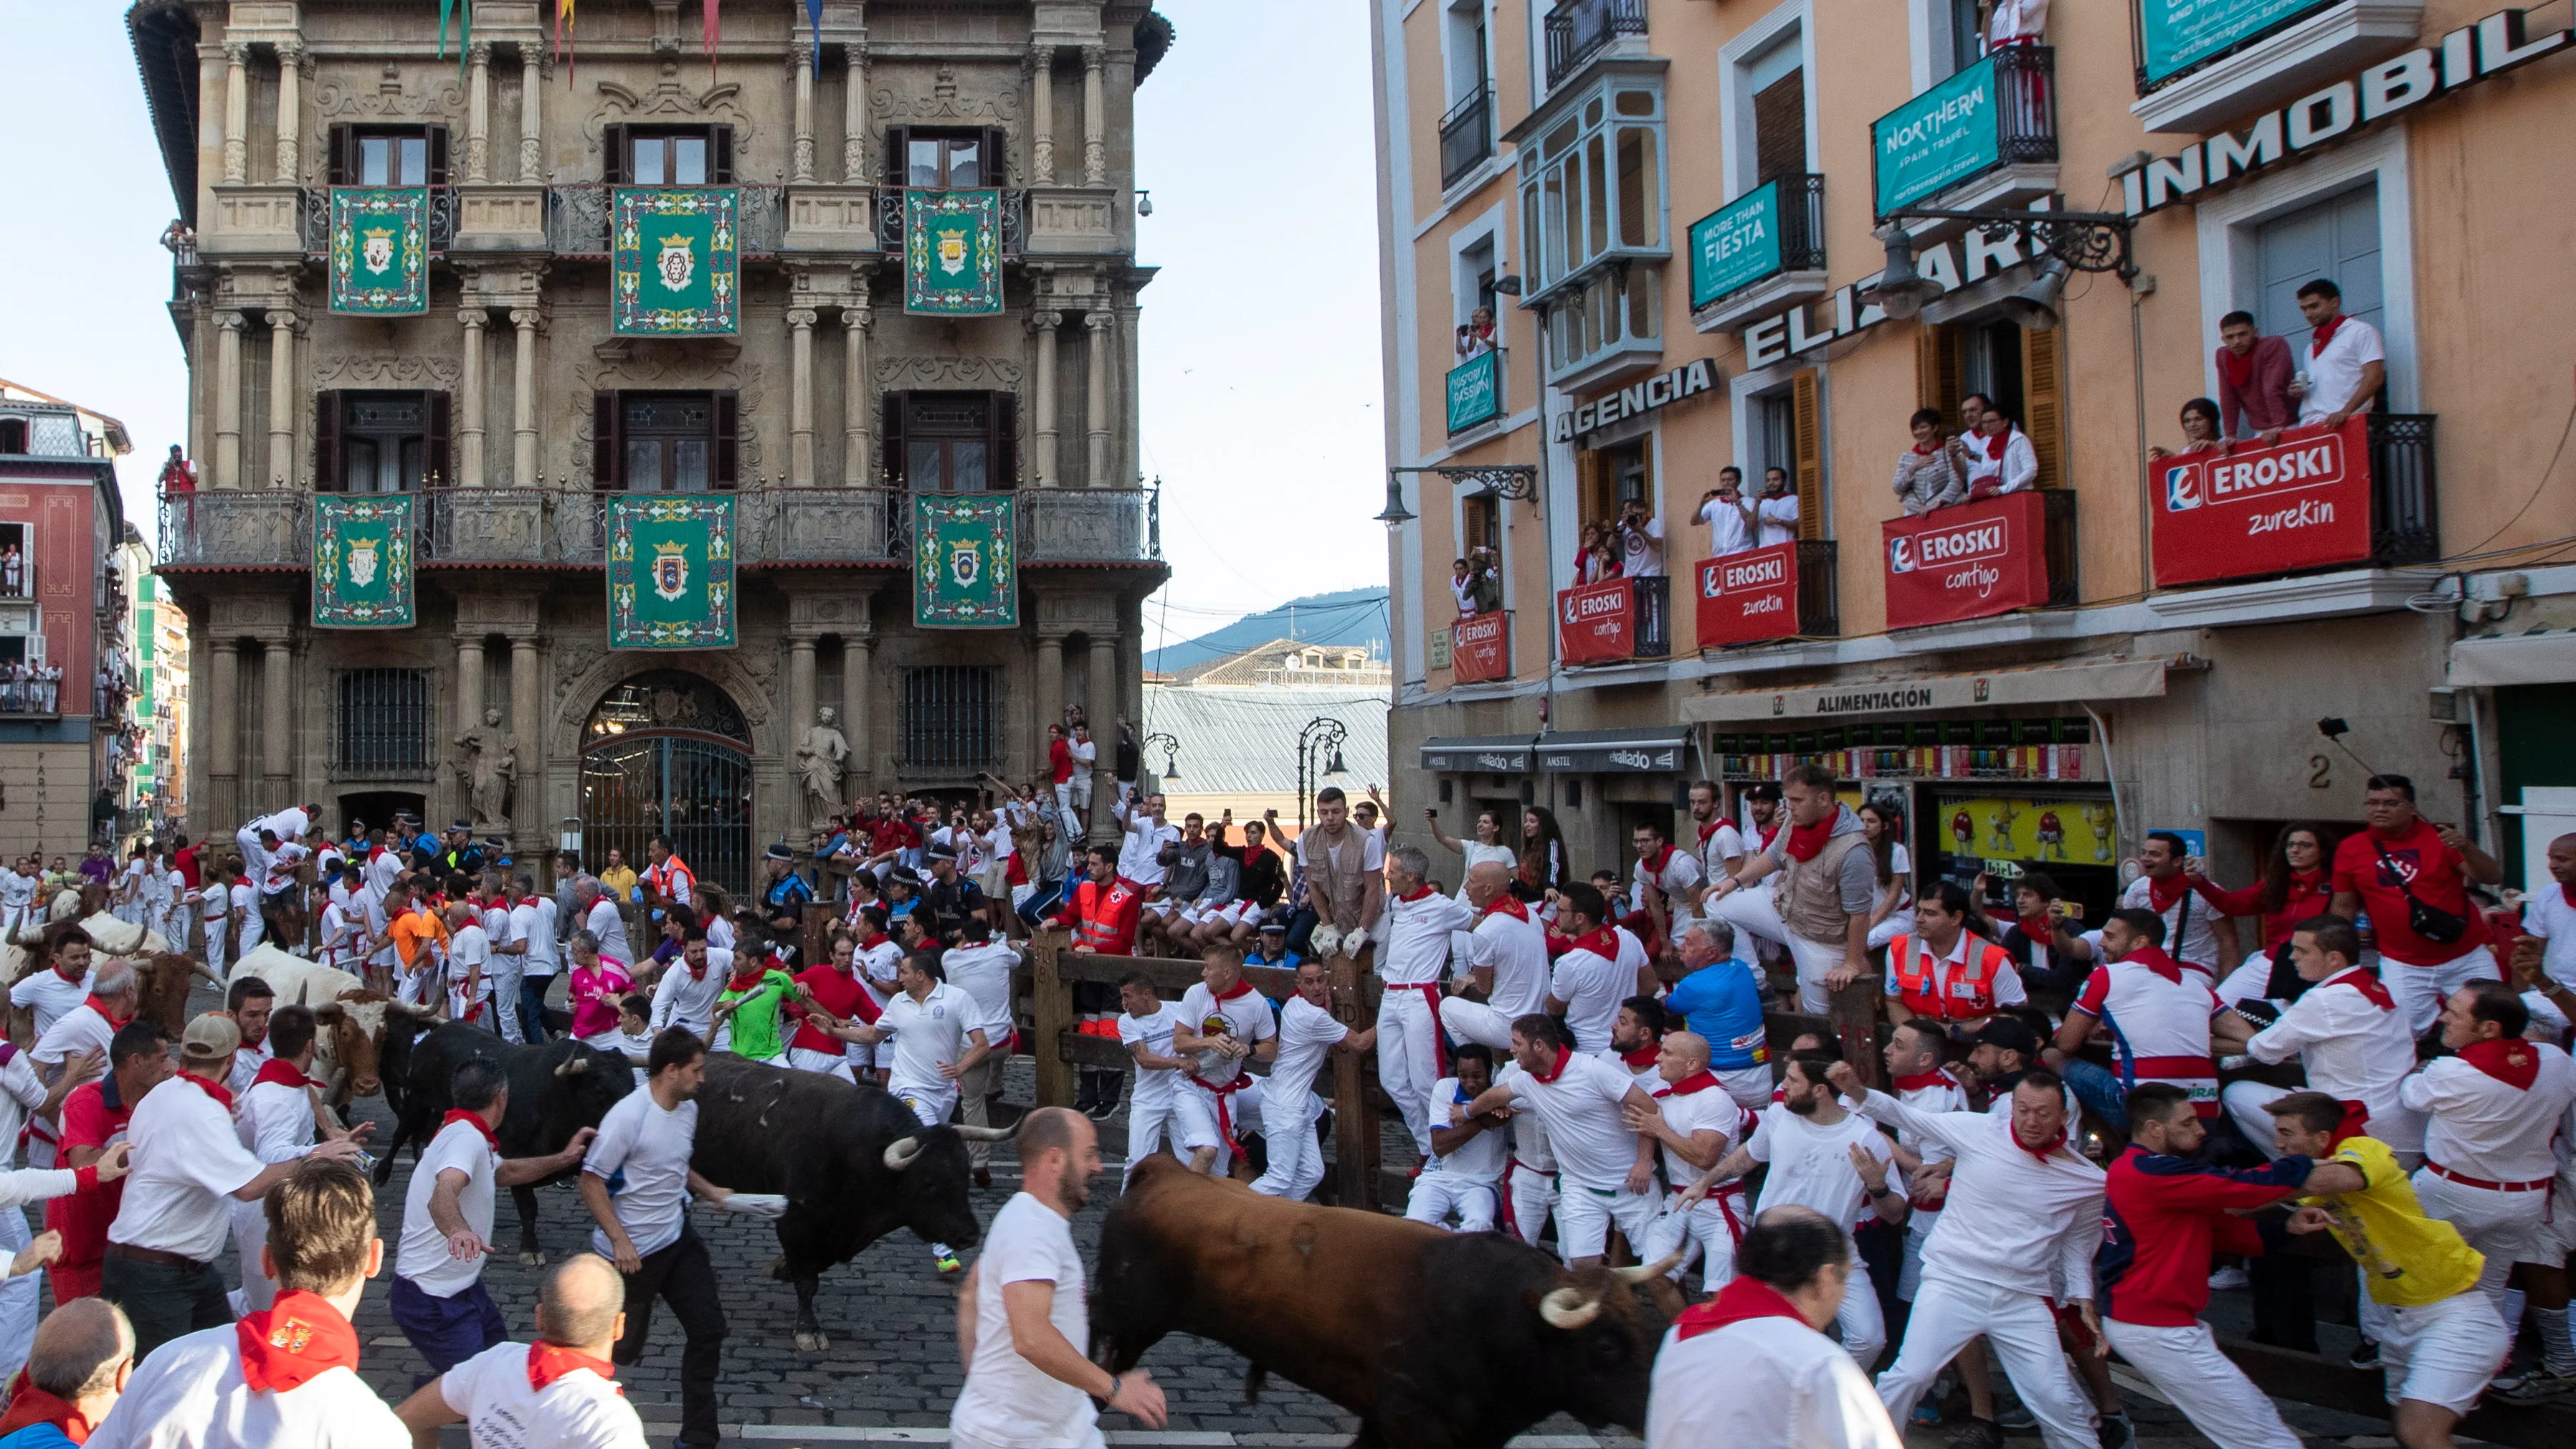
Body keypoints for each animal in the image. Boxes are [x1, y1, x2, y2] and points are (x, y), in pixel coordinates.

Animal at [690, 1047, 1009, 1340]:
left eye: (964, 1175)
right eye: (929, 1182)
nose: (969, 1235)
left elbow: (814, 1265)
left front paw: (780, 1269)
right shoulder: (794, 1220)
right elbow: (807, 1278)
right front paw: (808, 1329)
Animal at [1082, 1149, 1669, 1443]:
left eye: (1644, 1332)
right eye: (1606, 1346)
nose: (1653, 1413)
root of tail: (1162, 1169)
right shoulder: (1413, 1416)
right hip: (1128, 1312)